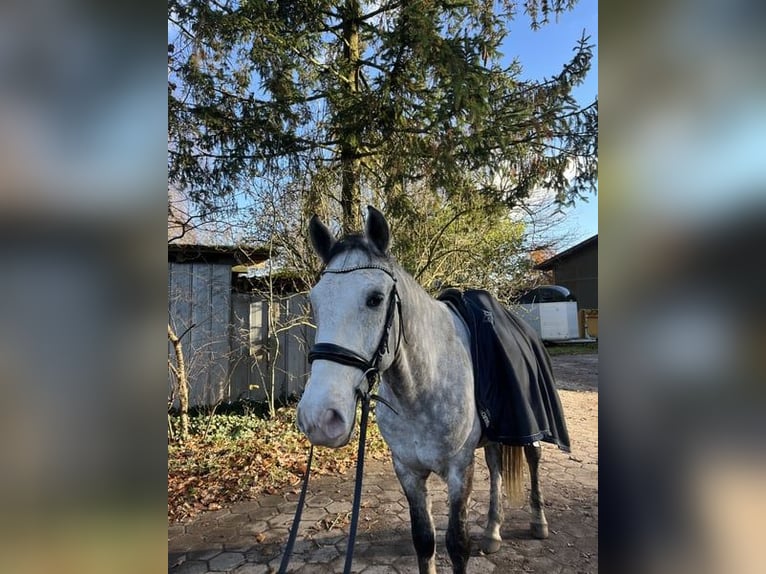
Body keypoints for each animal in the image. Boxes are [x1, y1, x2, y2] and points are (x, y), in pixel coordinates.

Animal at [296, 206, 552, 574]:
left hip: (530, 426)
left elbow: (457, 545)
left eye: (375, 299)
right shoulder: (407, 471)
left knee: (533, 458)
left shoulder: (459, 471)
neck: (419, 390)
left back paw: (538, 521)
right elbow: (424, 540)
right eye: (315, 302)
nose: (319, 418)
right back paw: (492, 531)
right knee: (495, 467)